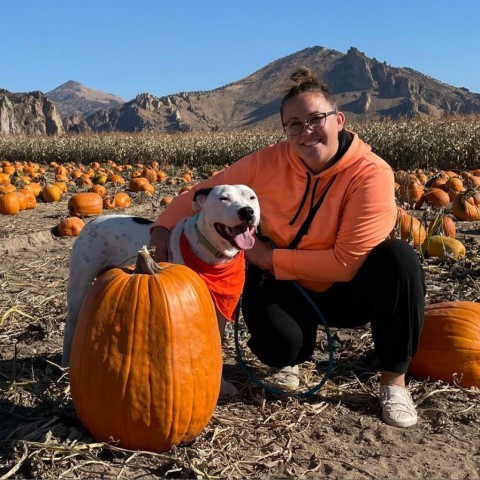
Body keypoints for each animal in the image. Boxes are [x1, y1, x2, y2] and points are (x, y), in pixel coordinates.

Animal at [63, 184, 260, 398]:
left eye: (252, 197)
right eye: (223, 198)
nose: (247, 212)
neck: (214, 256)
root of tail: (93, 221)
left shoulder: (217, 315)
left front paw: (221, 385)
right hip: (78, 288)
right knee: (70, 326)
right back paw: (66, 366)